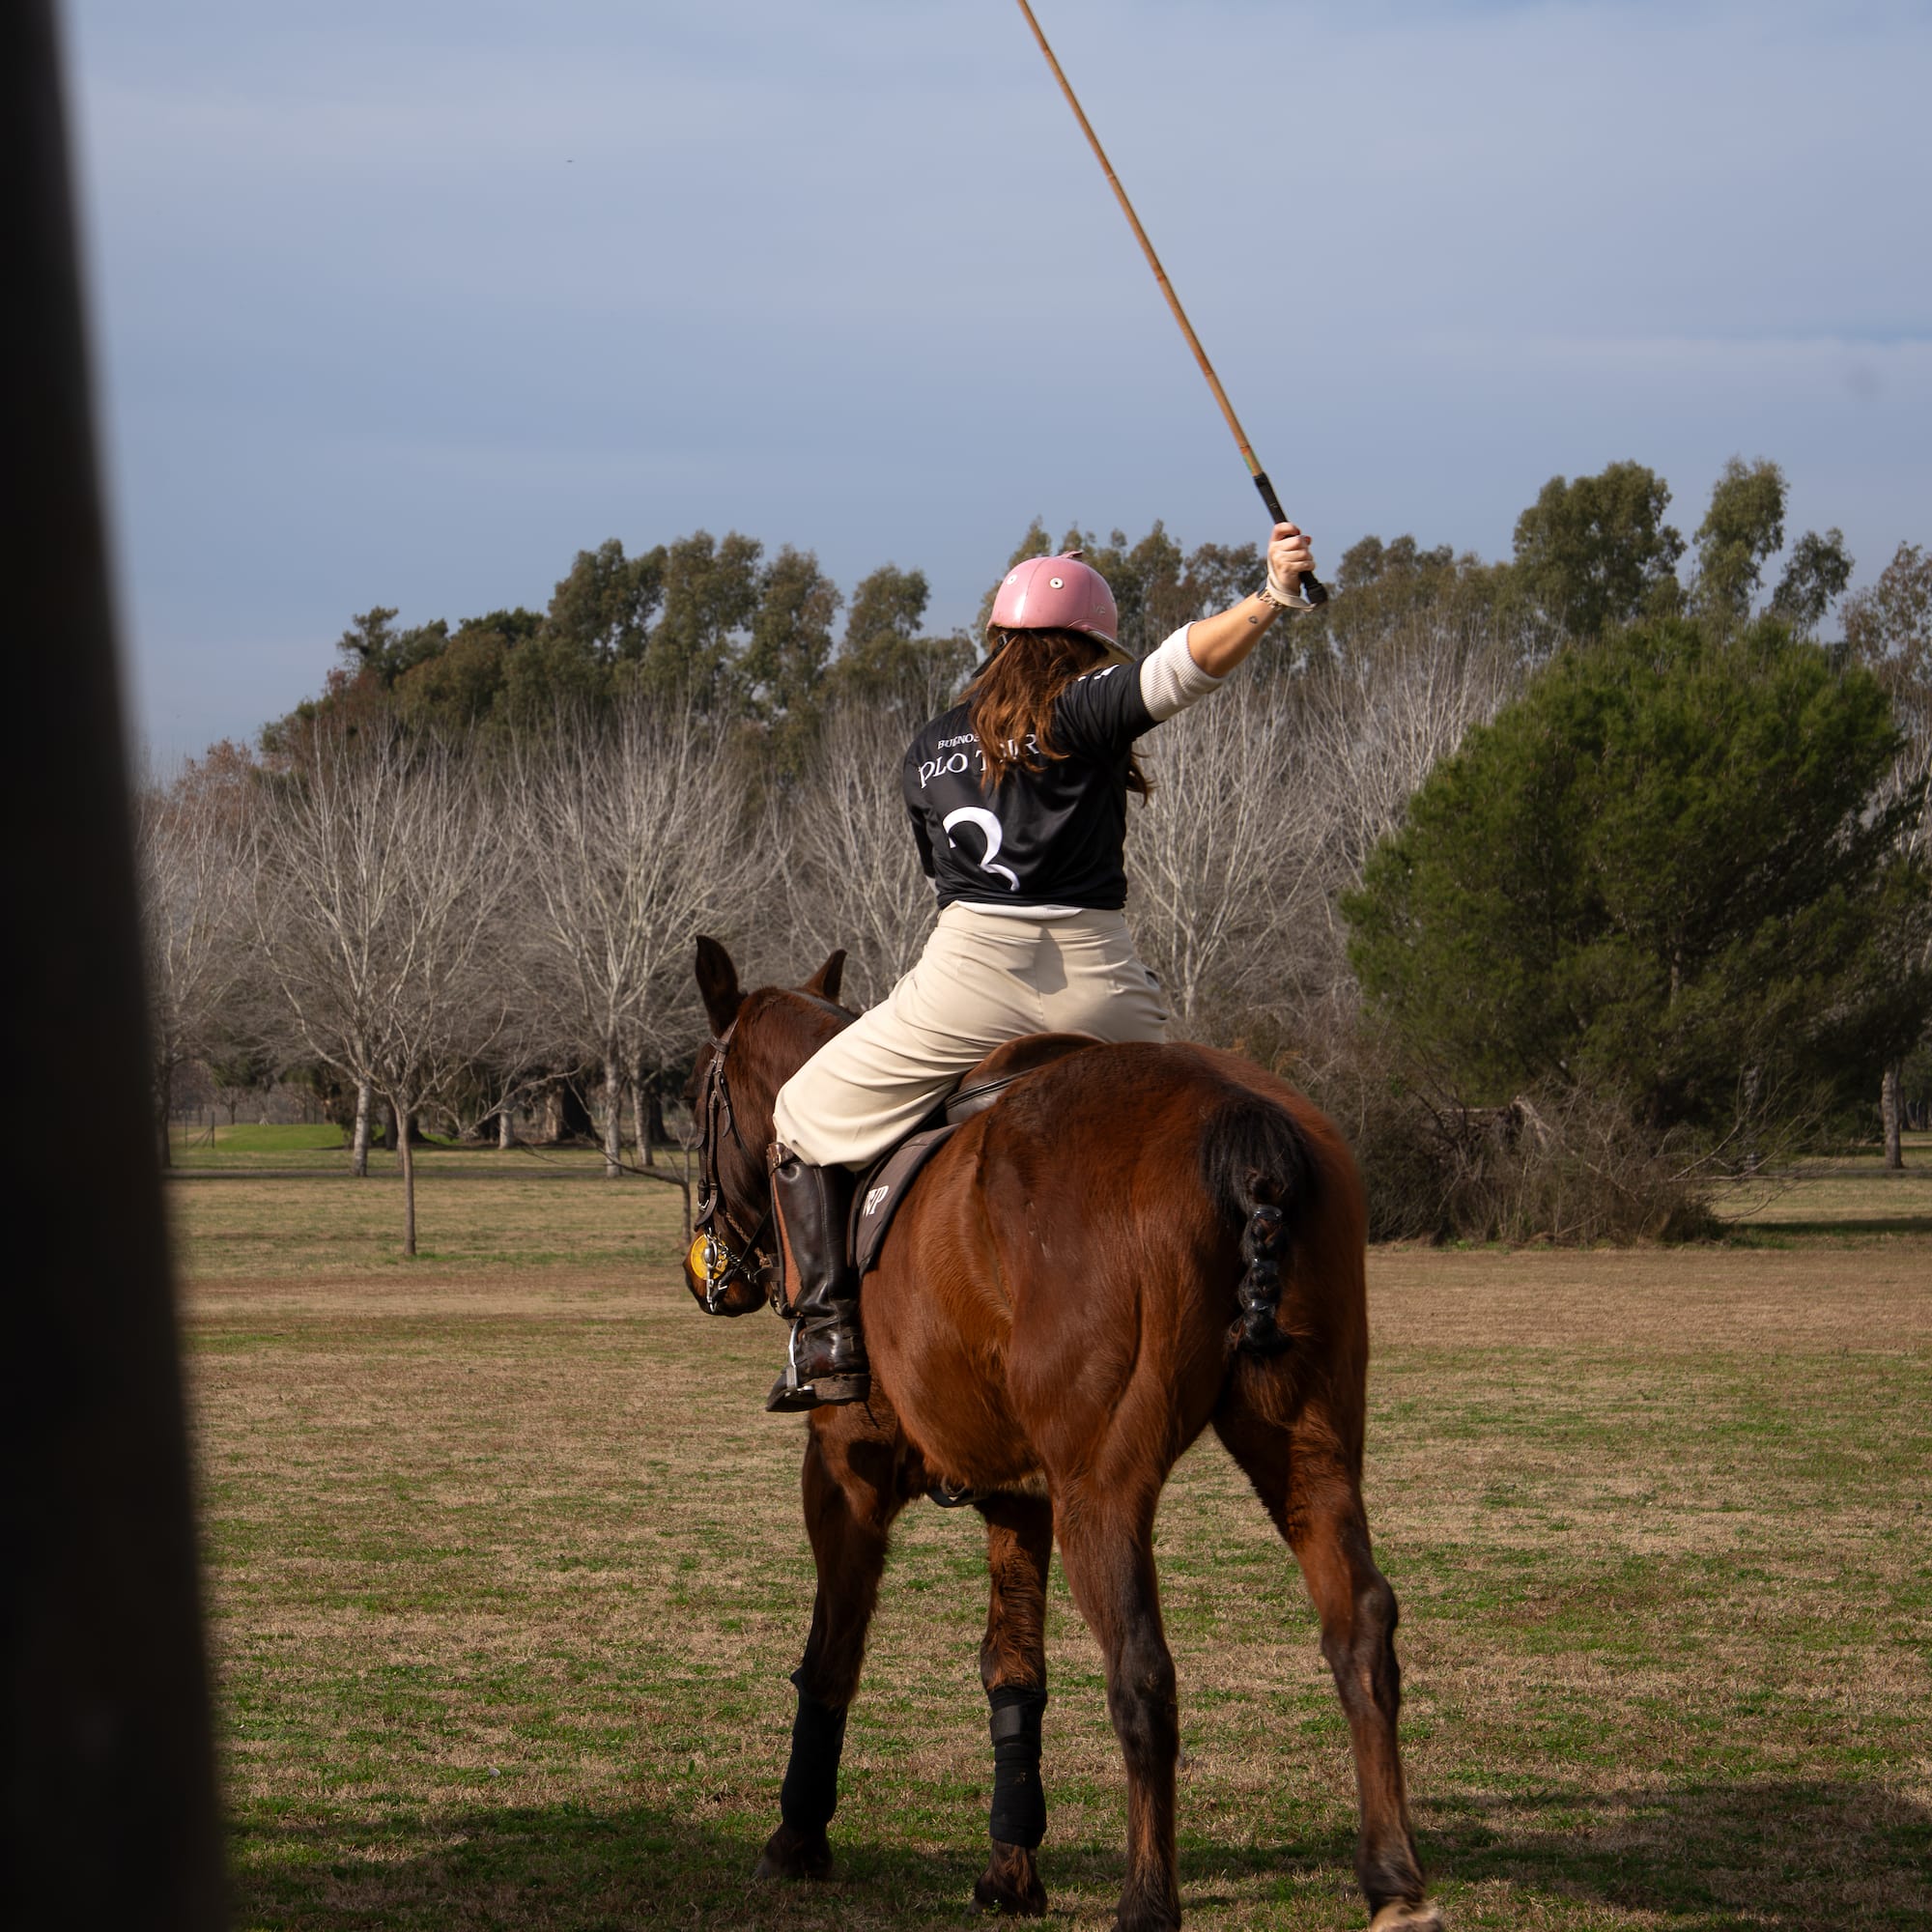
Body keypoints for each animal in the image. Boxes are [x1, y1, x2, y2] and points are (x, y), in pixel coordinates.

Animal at [681, 935, 1441, 1932]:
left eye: (691, 1099)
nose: (707, 1272)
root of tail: (1241, 1124)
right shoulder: (1018, 1495)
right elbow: (1014, 1670)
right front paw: (1011, 1872)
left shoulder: (846, 1471)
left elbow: (831, 1655)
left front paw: (796, 1842)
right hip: (1308, 1446)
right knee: (1361, 1625)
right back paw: (1393, 1881)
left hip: (1102, 1488)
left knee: (1144, 1672)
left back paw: (1149, 1903)